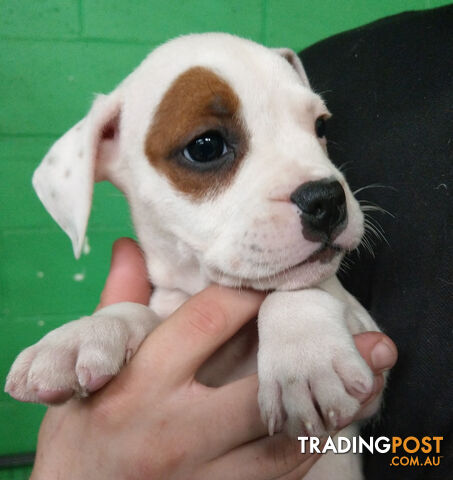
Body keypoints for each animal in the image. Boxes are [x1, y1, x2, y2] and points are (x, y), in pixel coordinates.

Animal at [6, 33, 382, 480]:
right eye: (206, 147)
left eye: (320, 127)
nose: (326, 200)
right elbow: (138, 311)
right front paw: (82, 334)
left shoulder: (373, 372)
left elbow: (298, 288)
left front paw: (305, 357)